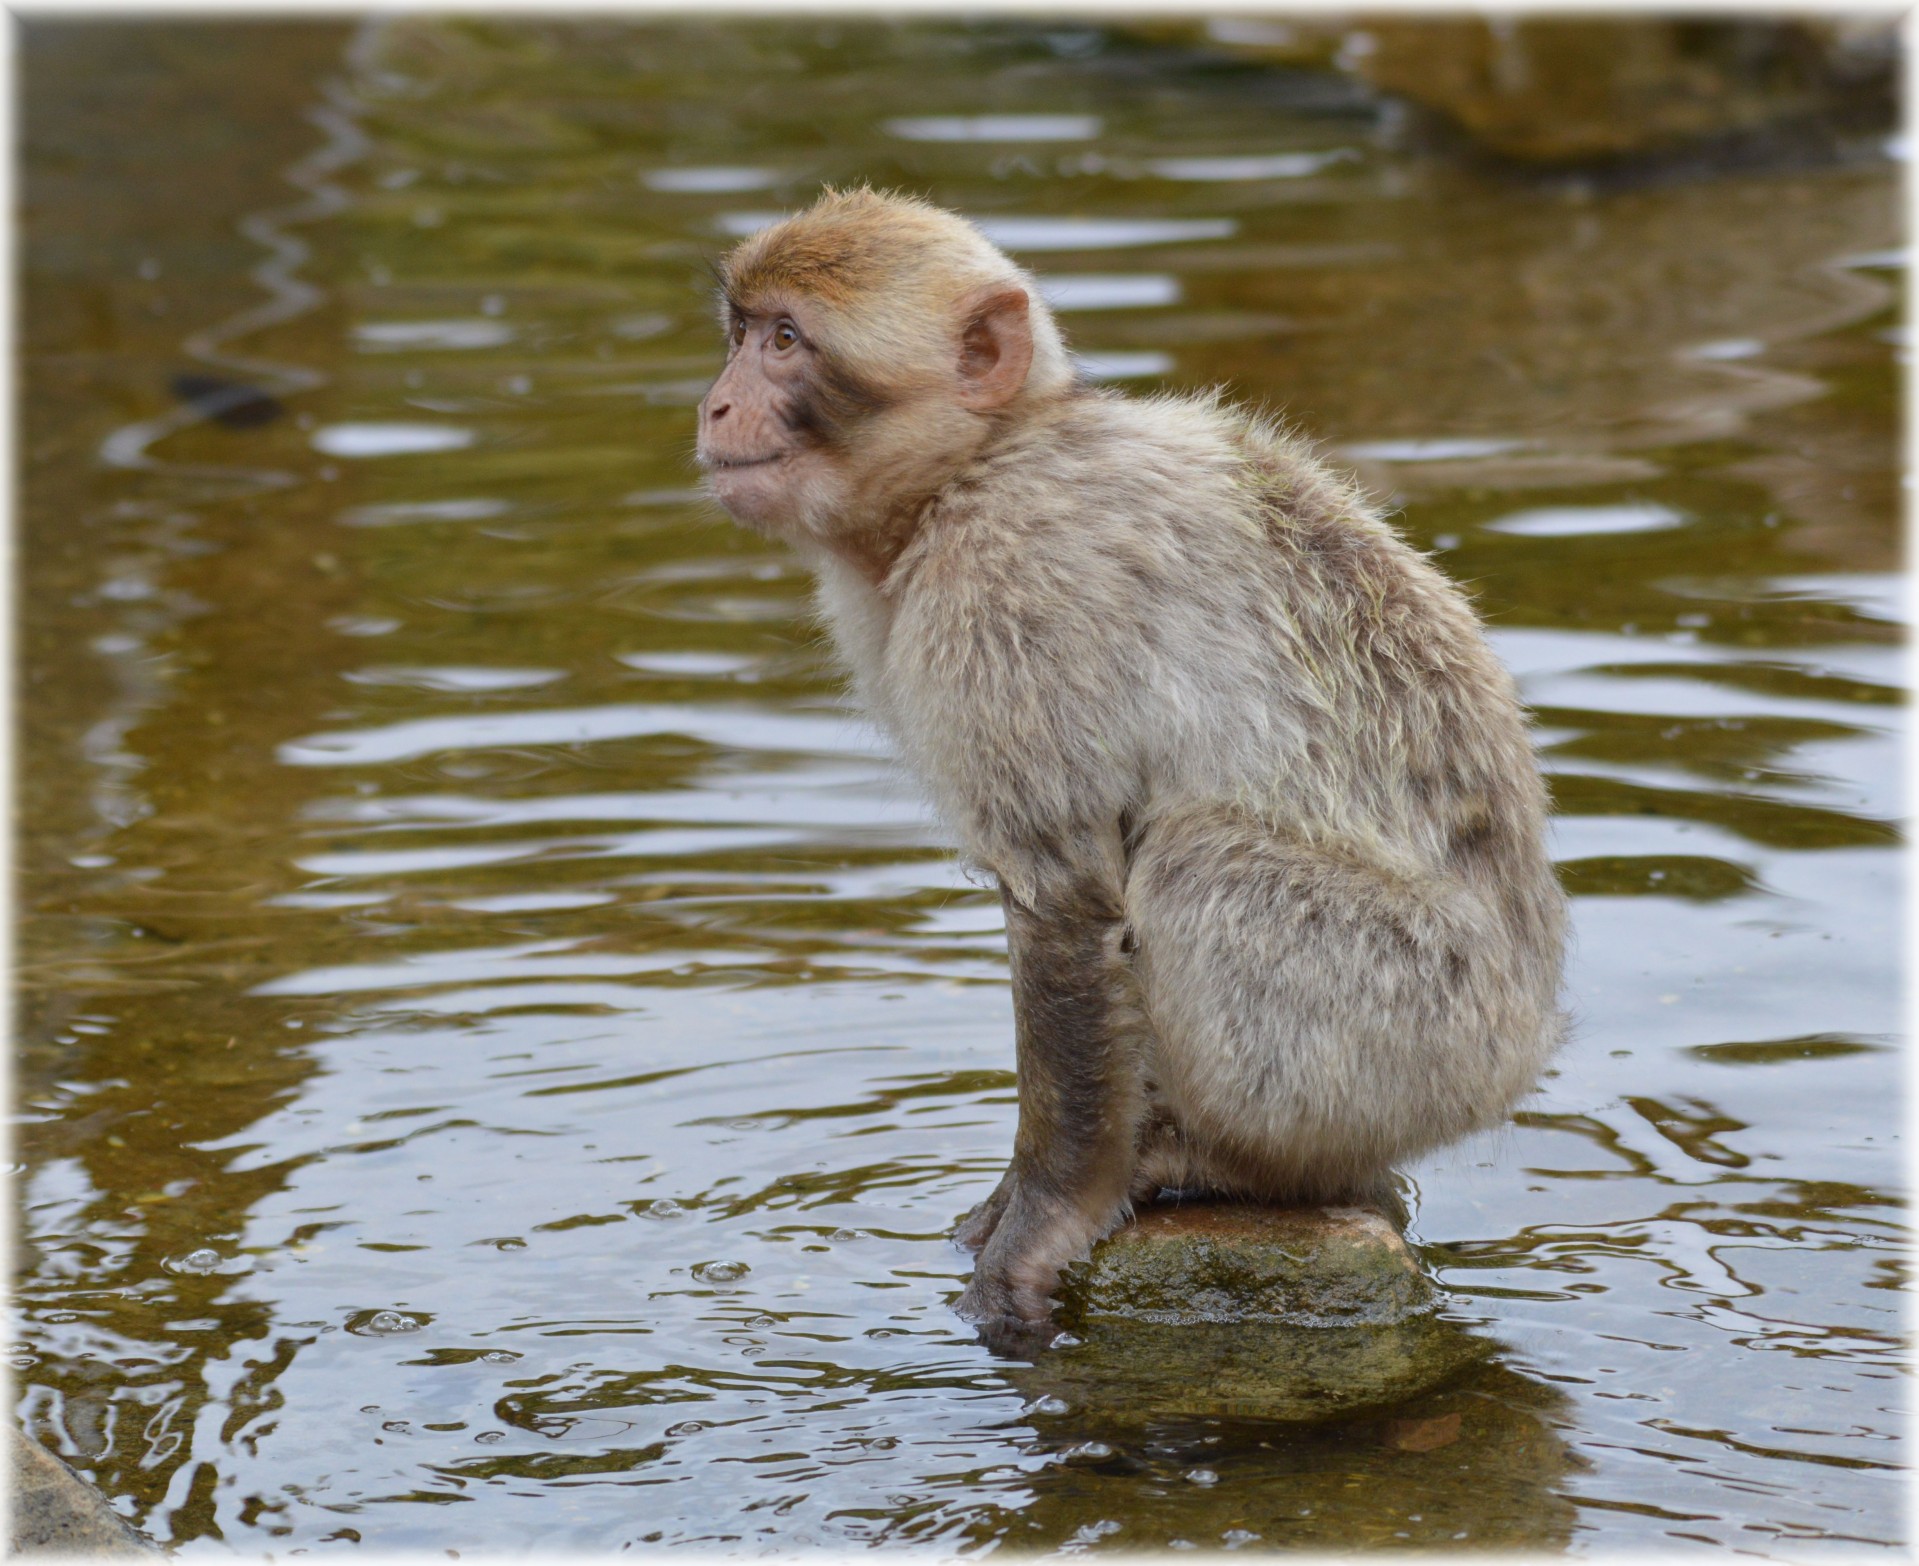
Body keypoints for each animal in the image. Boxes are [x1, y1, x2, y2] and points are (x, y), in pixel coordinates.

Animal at [698, 183, 1565, 1335]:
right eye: (741, 333)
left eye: (787, 343)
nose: (715, 403)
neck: (980, 464)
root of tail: (1526, 1042)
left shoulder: (1011, 582)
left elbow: (1063, 898)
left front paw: (1044, 1214)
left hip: (1421, 1036)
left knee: (1201, 863)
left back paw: (1243, 1168)